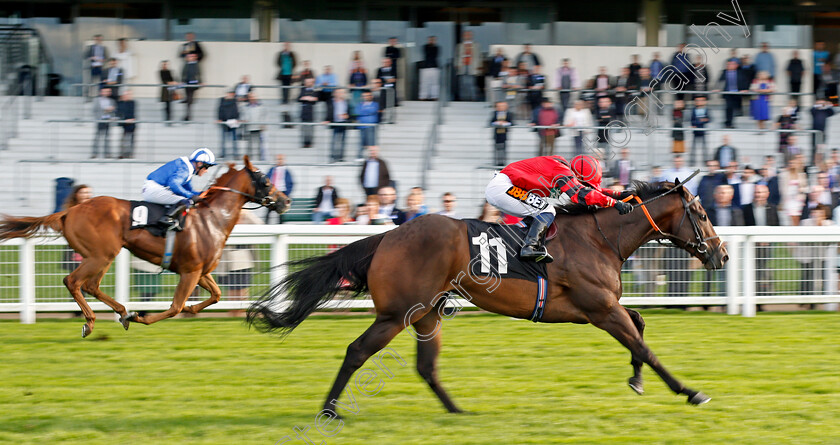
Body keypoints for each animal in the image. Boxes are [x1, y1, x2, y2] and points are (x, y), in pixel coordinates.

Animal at [0, 156, 288, 336]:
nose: (285, 200)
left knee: (90, 285)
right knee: (74, 281)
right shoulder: (190, 271)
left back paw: (121, 312)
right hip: (101, 254)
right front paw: (141, 317)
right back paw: (92, 322)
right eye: (265, 181)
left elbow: (215, 295)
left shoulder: (200, 271)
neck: (213, 217)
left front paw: (191, 309)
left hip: (101, 256)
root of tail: (70, 211)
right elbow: (175, 307)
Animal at [249, 180, 728, 412]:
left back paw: (458, 412)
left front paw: (637, 380)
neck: (599, 238)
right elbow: (644, 346)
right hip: (396, 314)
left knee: (426, 365)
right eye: (702, 213)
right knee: (356, 352)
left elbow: (641, 328)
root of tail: (388, 236)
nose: (721, 253)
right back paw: (330, 410)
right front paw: (689, 391)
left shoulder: (602, 306)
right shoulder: (600, 308)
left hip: (428, 313)